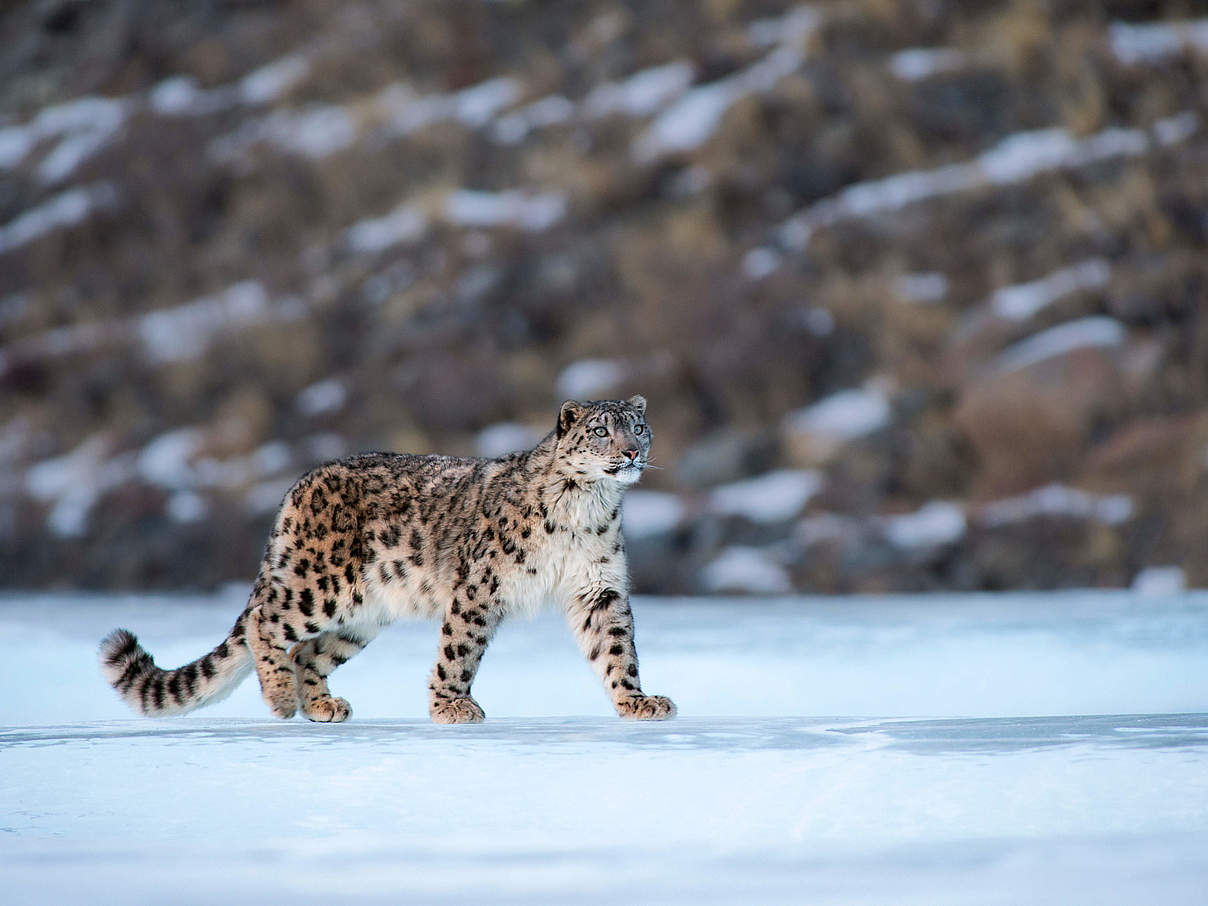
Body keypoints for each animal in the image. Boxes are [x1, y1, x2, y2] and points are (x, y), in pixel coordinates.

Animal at [99, 396, 676, 724]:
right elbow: (459, 649)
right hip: (319, 587)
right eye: (600, 430)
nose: (631, 452)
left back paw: (322, 707)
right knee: (266, 621)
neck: (587, 507)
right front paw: (450, 706)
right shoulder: (479, 587)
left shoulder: (598, 587)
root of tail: (299, 485)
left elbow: (616, 649)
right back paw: (282, 698)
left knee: (309, 653)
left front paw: (637, 700)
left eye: (638, 427)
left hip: (362, 616)